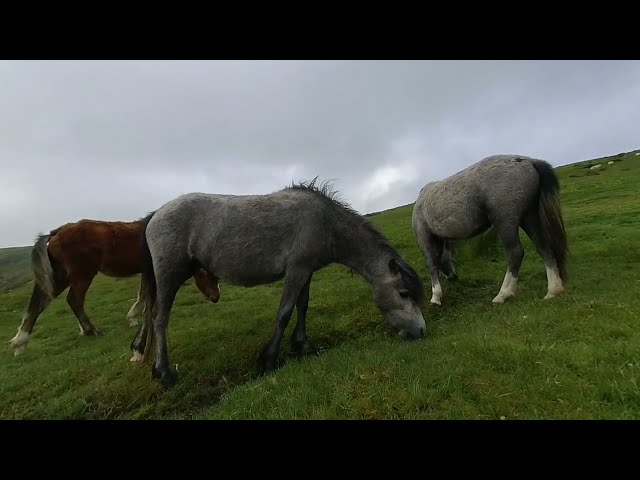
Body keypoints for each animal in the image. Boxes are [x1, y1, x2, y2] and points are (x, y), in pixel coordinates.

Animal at [6, 218, 222, 356]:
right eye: (207, 273)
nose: (215, 298)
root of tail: (56, 232)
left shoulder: (147, 270)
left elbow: (142, 294)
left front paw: (133, 318)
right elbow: (146, 295)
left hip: (60, 276)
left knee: (38, 302)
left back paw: (20, 342)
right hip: (82, 275)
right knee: (73, 300)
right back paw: (90, 330)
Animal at [131, 178, 424, 388]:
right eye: (404, 293)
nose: (420, 332)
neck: (325, 221)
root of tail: (155, 215)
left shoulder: (306, 271)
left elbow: (302, 307)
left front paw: (303, 345)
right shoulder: (296, 270)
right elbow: (284, 312)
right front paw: (269, 359)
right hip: (170, 276)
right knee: (159, 319)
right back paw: (165, 374)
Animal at [412, 156, 568, 306]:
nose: (452, 276)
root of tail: (528, 161)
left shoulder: (424, 236)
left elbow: (431, 264)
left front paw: (436, 297)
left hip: (505, 222)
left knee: (515, 253)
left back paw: (503, 294)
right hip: (529, 218)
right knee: (544, 248)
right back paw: (553, 290)